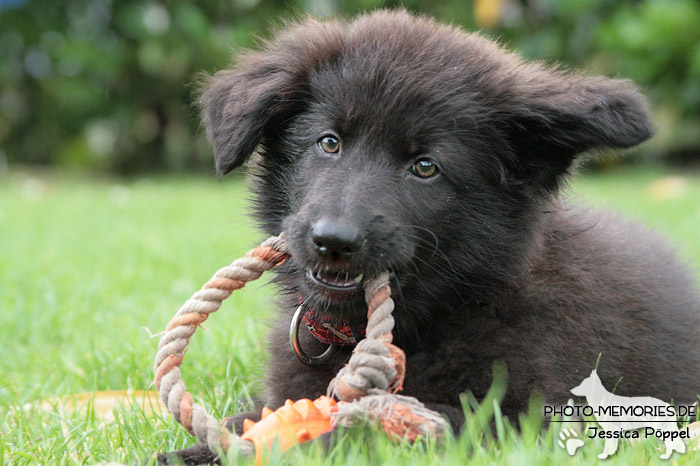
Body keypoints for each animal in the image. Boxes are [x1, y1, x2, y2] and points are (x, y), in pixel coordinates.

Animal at [157, 9, 700, 464]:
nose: (334, 240)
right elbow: (260, 413)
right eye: (329, 143)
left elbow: (366, 426)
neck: (454, 305)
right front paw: (206, 445)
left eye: (425, 167)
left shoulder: (523, 417)